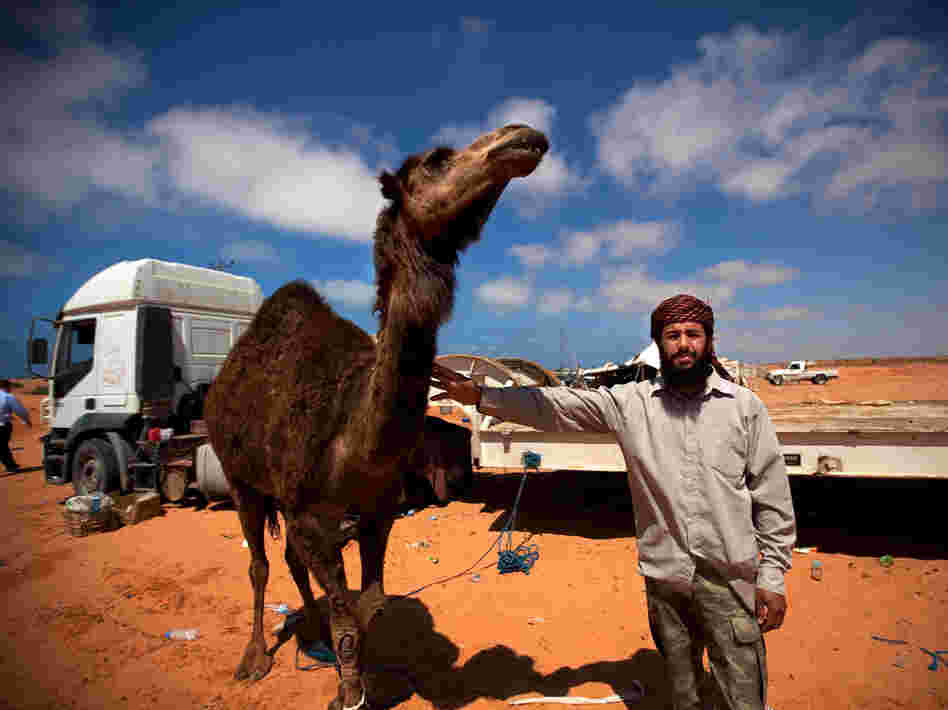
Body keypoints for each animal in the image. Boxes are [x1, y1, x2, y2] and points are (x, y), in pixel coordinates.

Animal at [204, 124, 547, 710]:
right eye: (437, 160)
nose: (521, 137)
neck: (352, 442)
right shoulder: (312, 512)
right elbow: (346, 610)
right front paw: (348, 692)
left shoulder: (376, 514)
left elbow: (369, 604)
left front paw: (361, 675)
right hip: (240, 477)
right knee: (259, 563)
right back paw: (254, 658)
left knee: (292, 561)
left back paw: (313, 633)